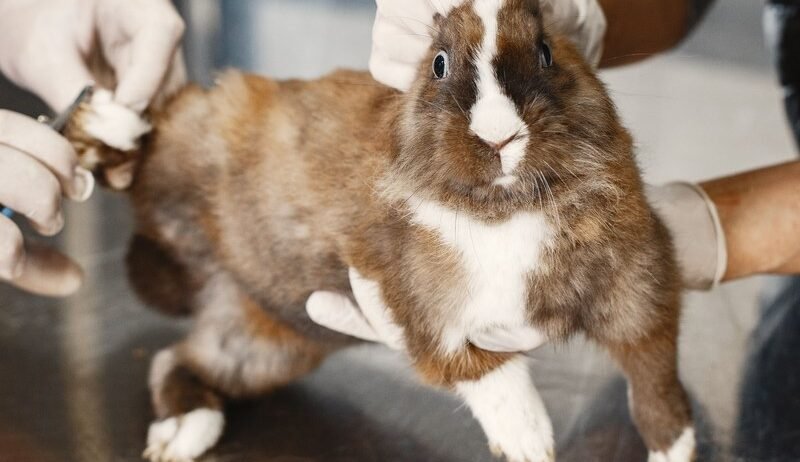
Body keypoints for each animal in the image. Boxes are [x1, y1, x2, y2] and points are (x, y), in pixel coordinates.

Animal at [65, 0, 695, 461]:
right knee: (141, 149)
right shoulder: (420, 308)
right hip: (187, 148)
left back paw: (183, 434)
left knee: (176, 360)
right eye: (438, 63)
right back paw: (107, 119)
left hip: (268, 343)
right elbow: (485, 371)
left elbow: (653, 374)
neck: (506, 209)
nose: (500, 137)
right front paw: (529, 441)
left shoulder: (640, 286)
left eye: (545, 53)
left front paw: (676, 448)